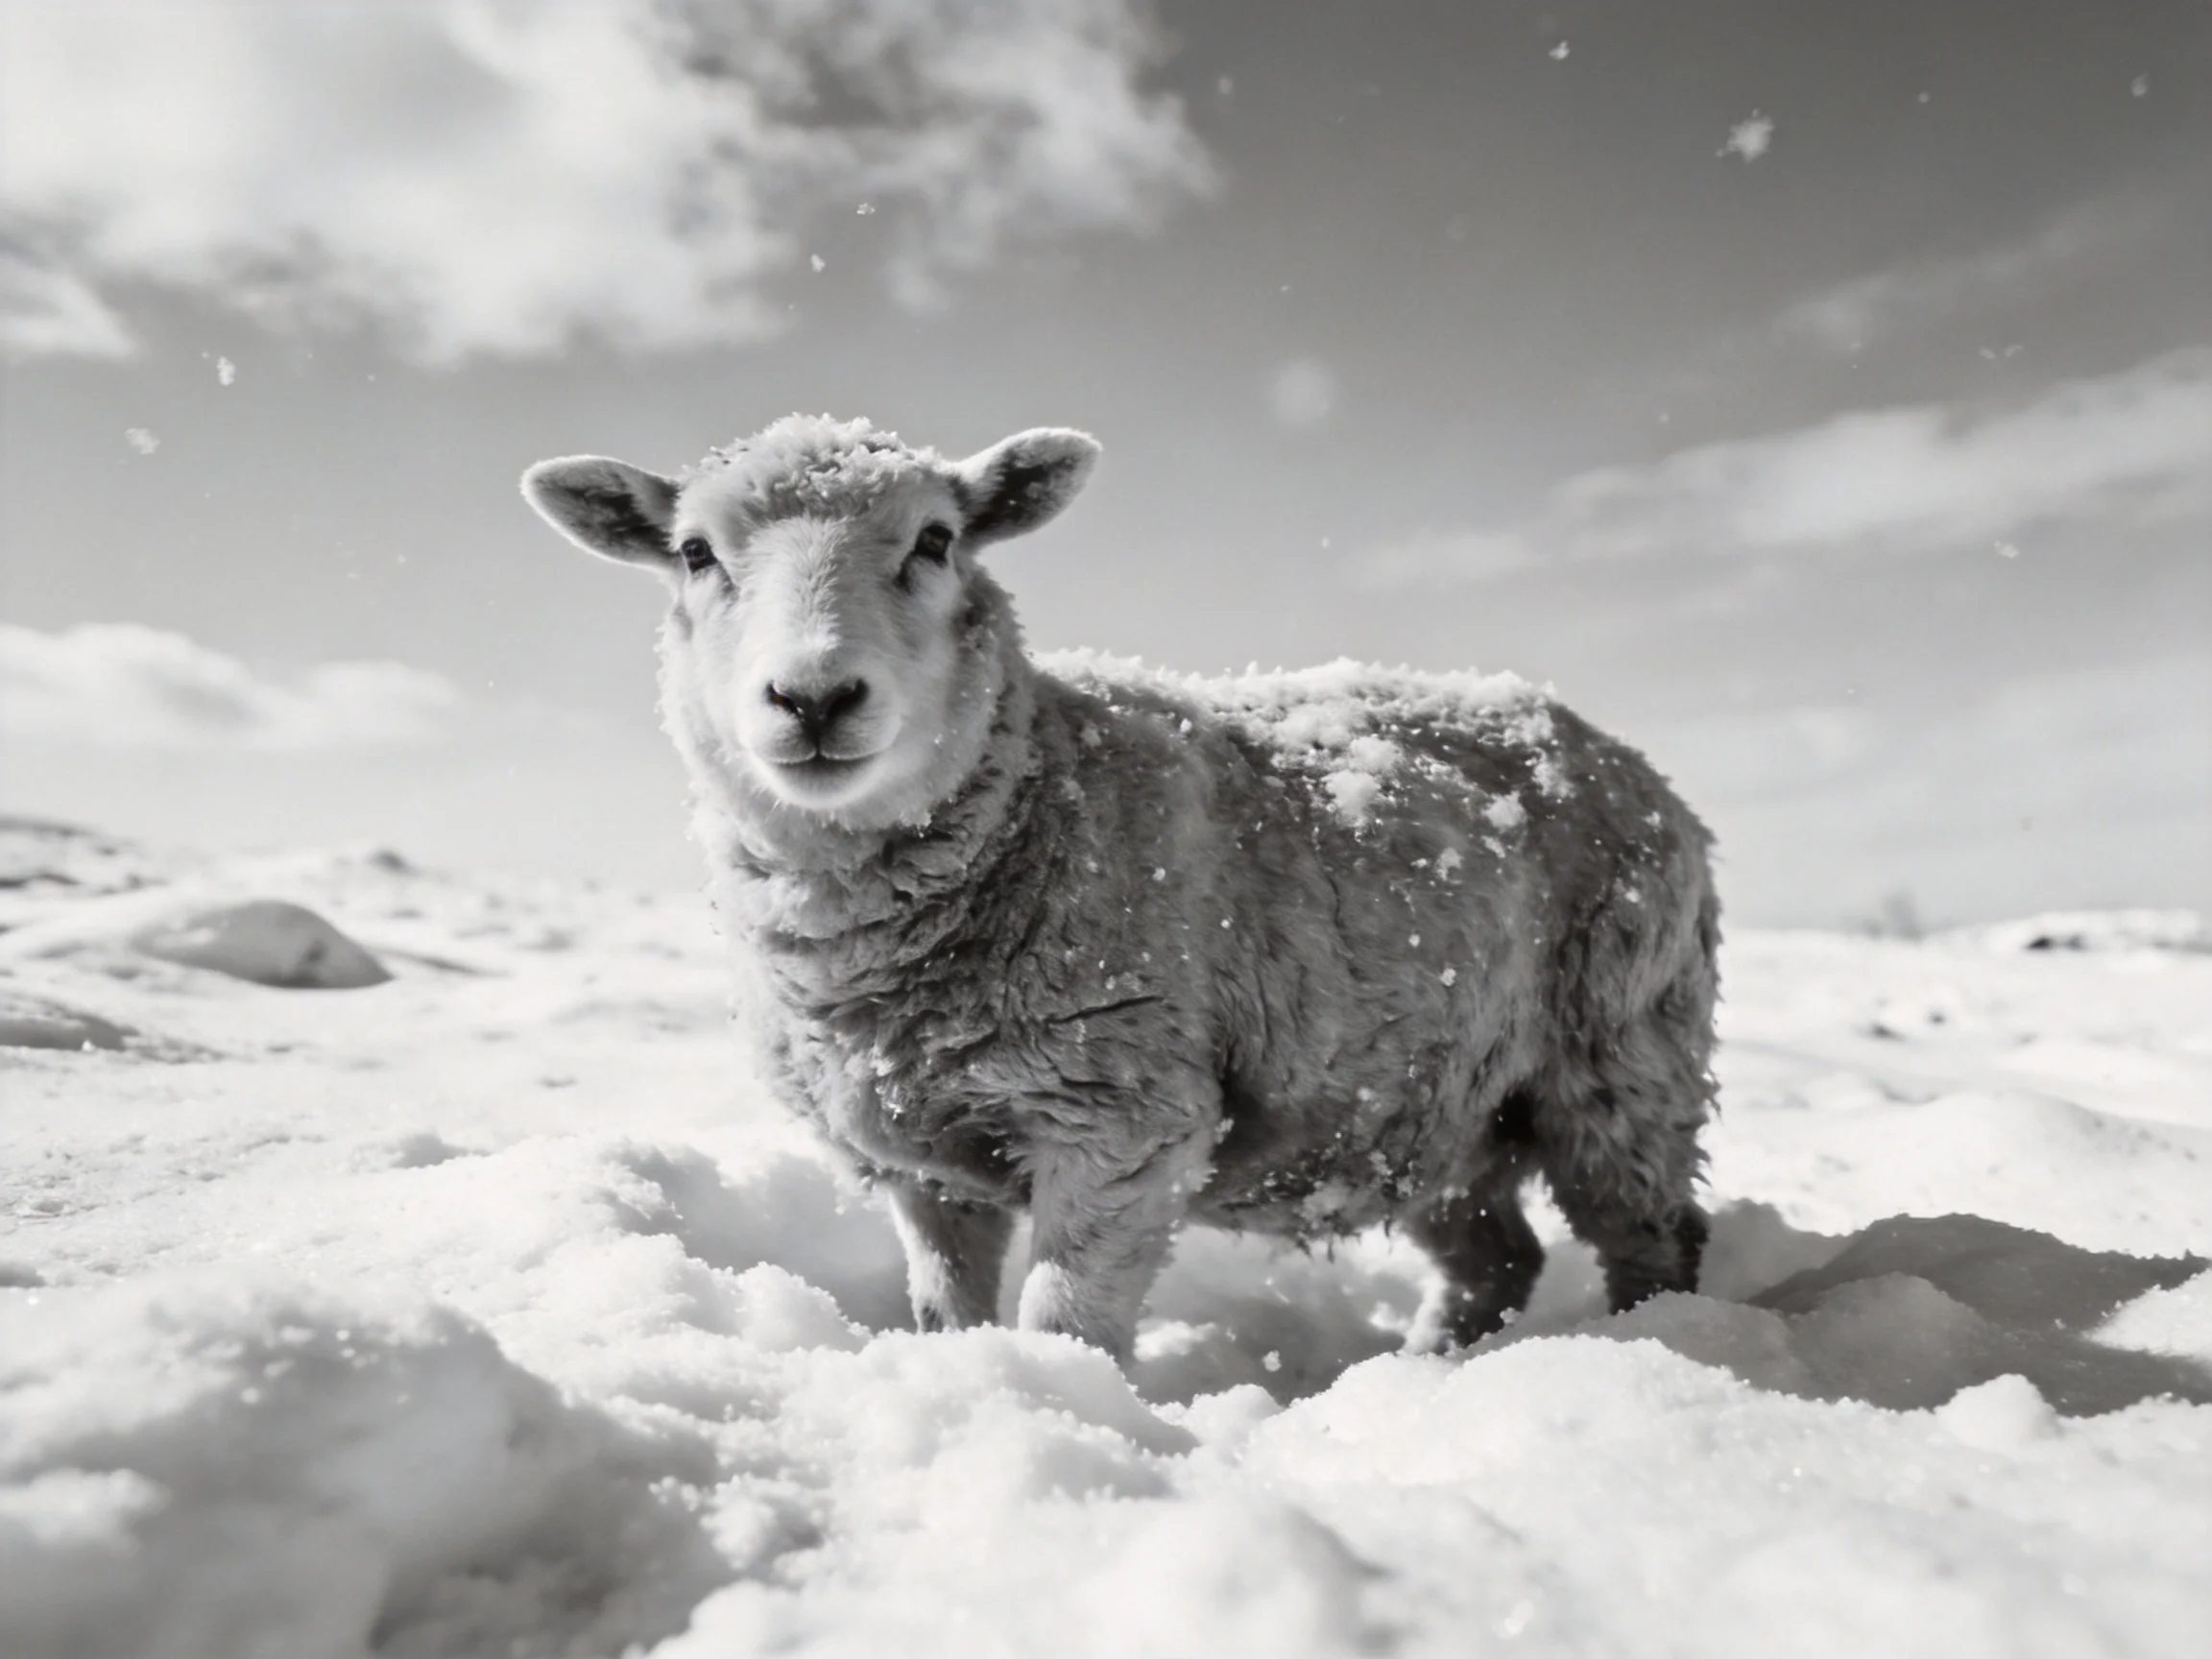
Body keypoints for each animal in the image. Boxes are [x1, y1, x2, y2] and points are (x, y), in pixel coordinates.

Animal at [522, 415, 1719, 1361]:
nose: (813, 698)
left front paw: (1066, 1409)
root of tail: (1606, 744)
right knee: (1494, 1257)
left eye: (936, 540)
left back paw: (1647, 1346)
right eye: (693, 554)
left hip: (1622, 1056)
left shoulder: (1123, 1120)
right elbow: (944, 1311)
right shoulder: (924, 1166)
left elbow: (1066, 1320)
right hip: (1425, 1104)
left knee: (1653, 1239)